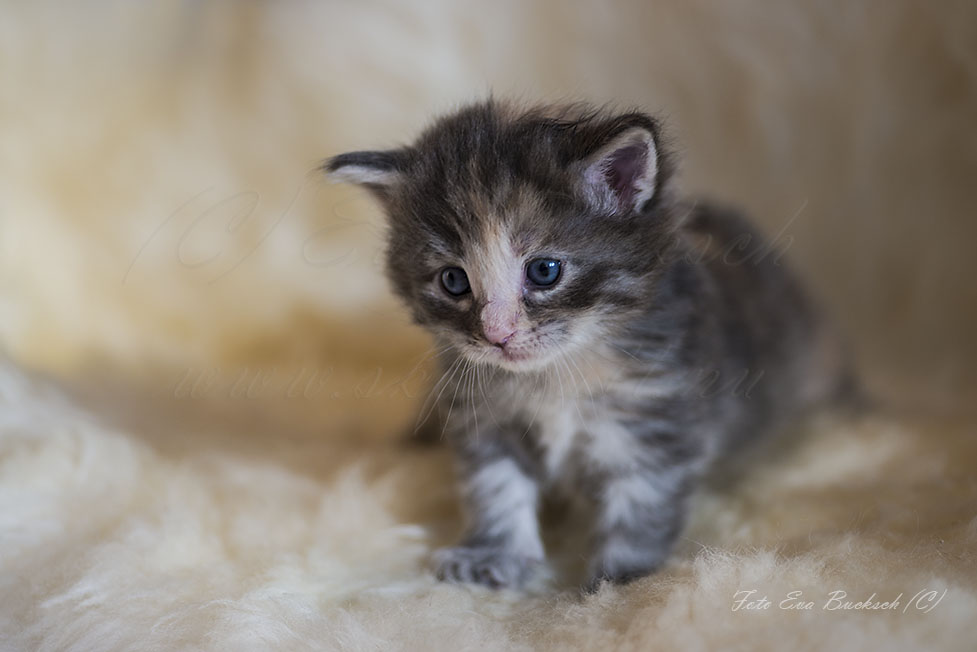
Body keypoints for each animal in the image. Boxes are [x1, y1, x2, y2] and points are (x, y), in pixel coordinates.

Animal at [326, 100, 848, 592]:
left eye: (544, 271)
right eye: (453, 281)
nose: (497, 335)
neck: (556, 375)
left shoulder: (655, 417)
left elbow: (641, 503)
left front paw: (620, 581)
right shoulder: (482, 411)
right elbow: (494, 486)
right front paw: (494, 554)